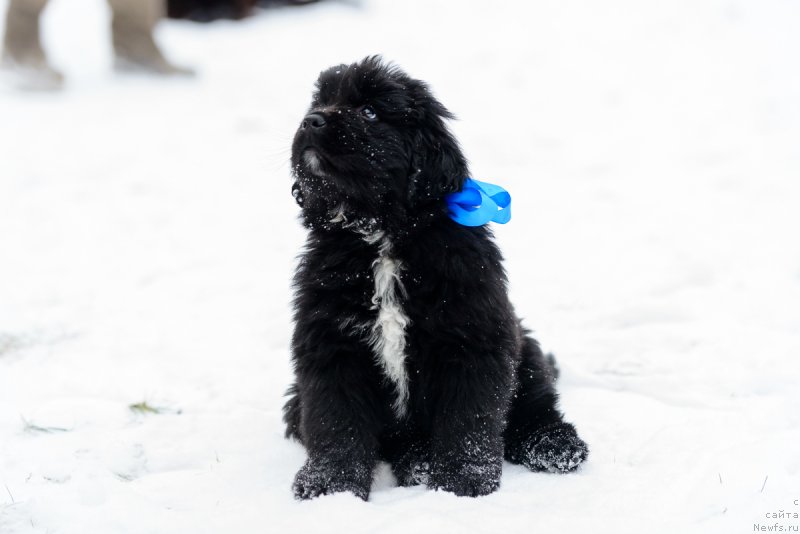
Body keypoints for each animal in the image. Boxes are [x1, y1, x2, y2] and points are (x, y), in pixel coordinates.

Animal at [282, 56, 588, 500]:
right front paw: (331, 489)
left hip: (524, 352)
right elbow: (335, 422)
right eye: (320, 100)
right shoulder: (331, 345)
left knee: (535, 406)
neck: (384, 238)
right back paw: (418, 464)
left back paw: (556, 446)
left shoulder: (471, 340)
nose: (311, 120)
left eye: (369, 111)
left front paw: (463, 482)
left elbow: (467, 421)